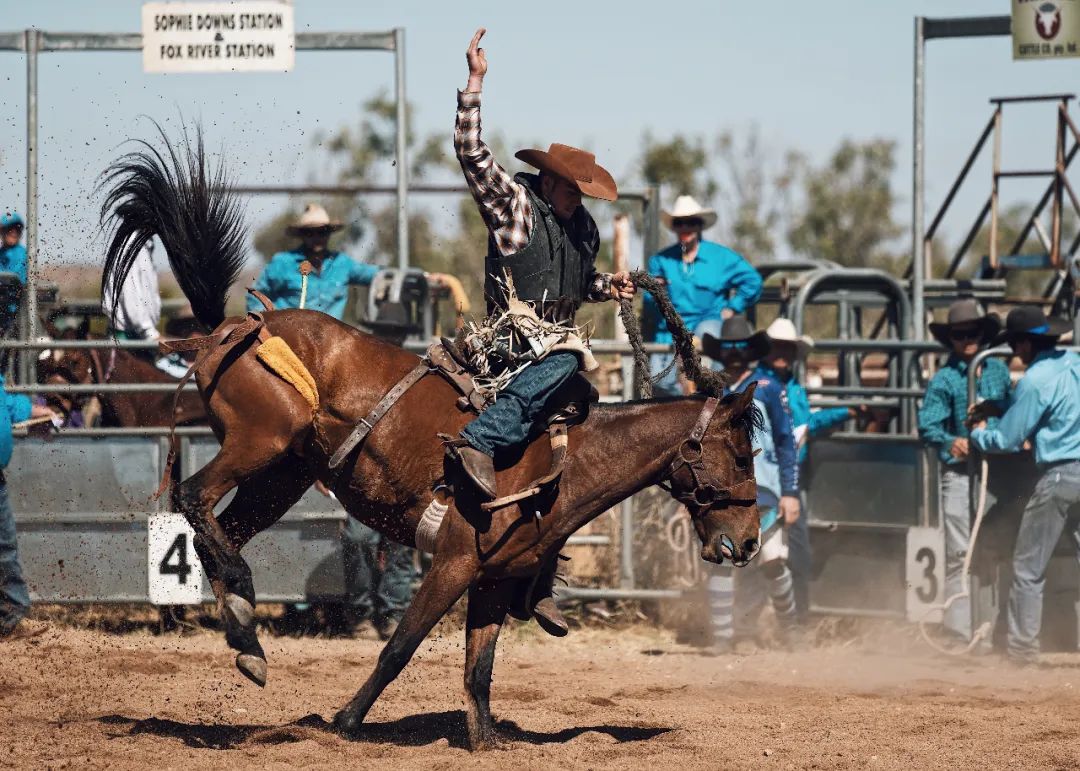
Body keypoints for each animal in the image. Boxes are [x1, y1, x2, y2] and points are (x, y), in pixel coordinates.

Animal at [99, 129, 760, 747]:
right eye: (740, 454)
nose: (751, 541)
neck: (570, 459)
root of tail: (235, 326)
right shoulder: (453, 561)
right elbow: (401, 646)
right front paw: (346, 721)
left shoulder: (493, 580)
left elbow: (480, 669)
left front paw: (485, 739)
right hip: (259, 442)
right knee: (194, 500)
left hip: (284, 473)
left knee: (220, 529)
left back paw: (246, 637)